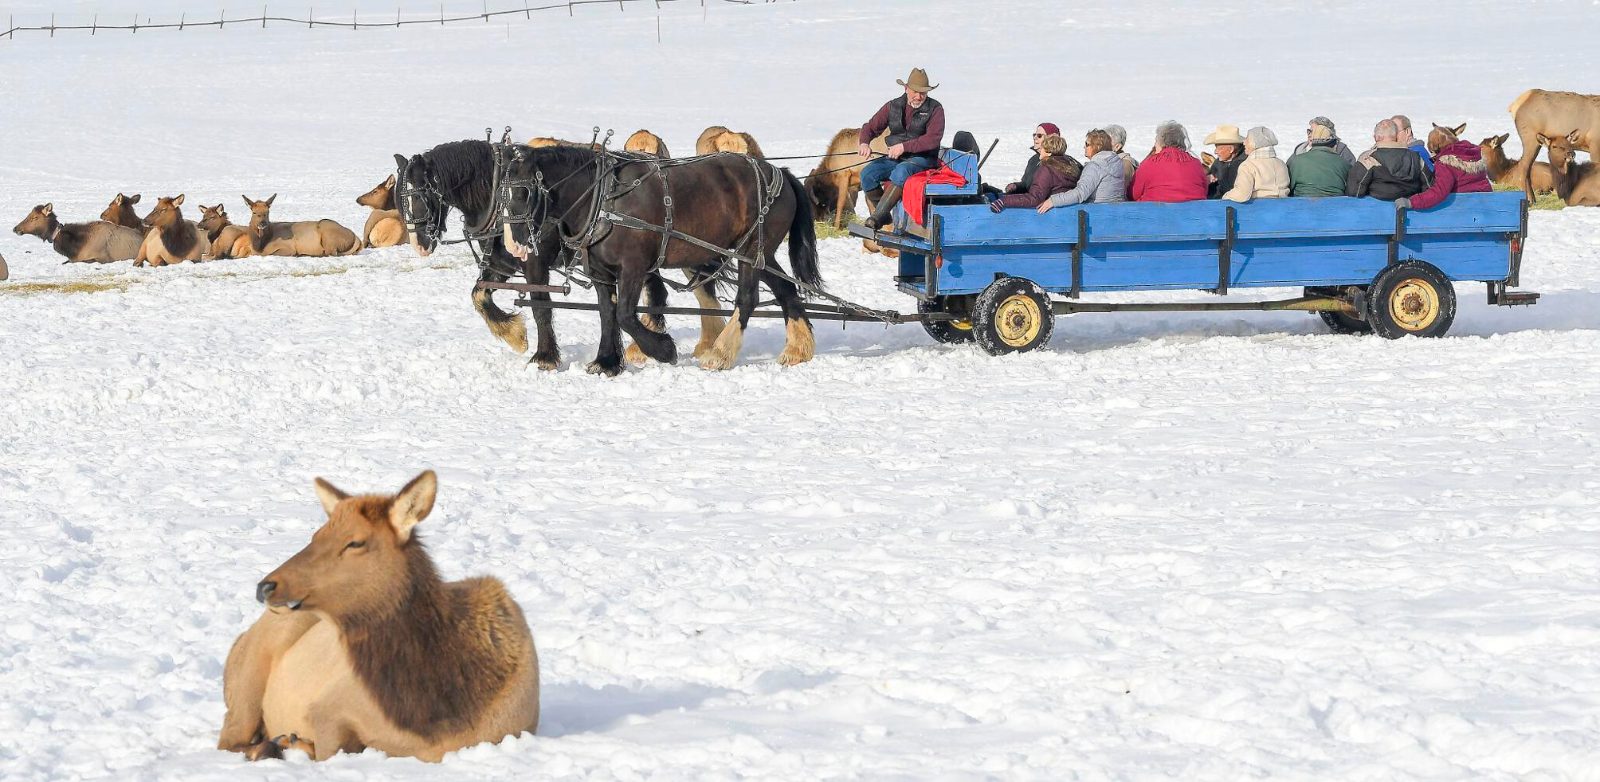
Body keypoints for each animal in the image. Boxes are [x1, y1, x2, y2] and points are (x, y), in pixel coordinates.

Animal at [218, 470, 540, 762]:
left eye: (355, 542)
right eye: (316, 535)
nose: (265, 586)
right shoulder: (327, 707)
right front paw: (292, 742)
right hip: (249, 677)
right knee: (229, 740)